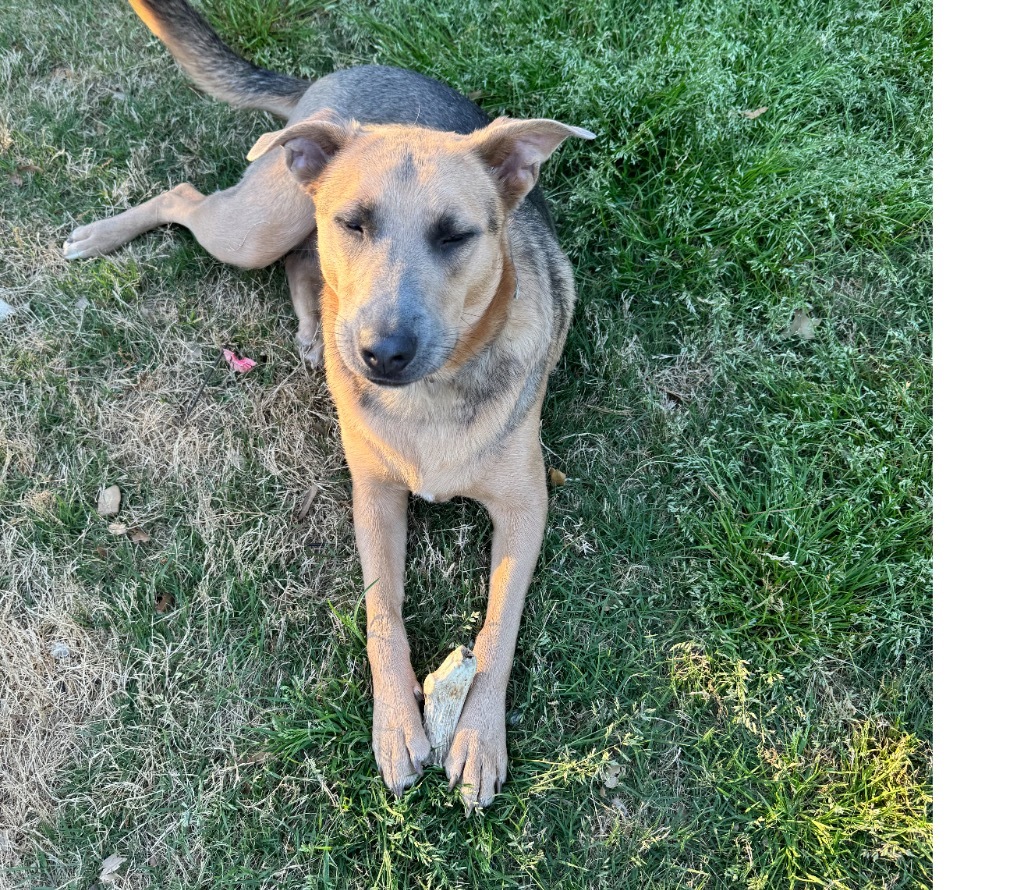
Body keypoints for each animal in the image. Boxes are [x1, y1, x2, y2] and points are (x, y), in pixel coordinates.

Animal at [66, 0, 593, 811]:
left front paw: (477, 738)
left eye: (456, 235)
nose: (380, 353)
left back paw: (315, 330)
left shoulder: (526, 504)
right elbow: (383, 614)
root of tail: (336, 81)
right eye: (356, 222)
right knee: (196, 202)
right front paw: (399, 725)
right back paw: (102, 234)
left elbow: (498, 624)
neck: (432, 395)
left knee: (299, 265)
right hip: (257, 224)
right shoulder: (373, 495)